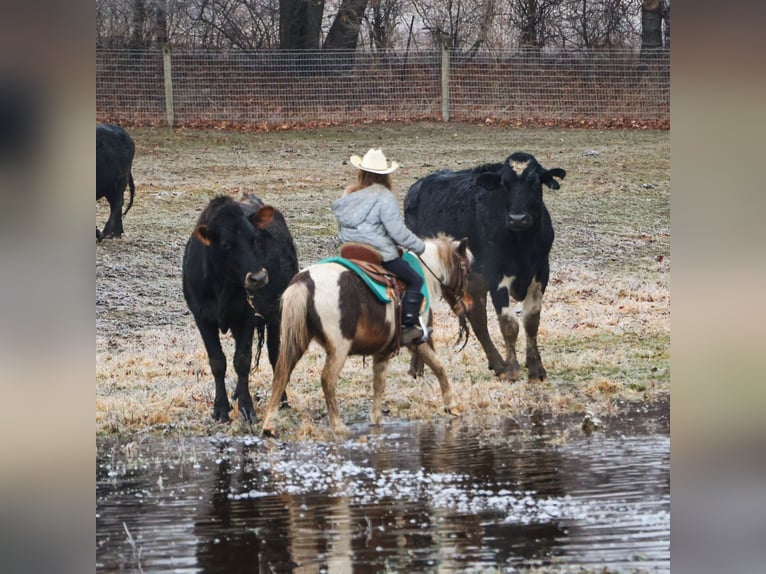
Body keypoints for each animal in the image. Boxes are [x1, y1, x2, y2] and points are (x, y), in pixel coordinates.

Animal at [261, 233, 473, 436]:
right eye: (465, 268)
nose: (466, 305)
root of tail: (306, 280)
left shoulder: (382, 352)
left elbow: (379, 384)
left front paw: (377, 419)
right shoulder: (417, 340)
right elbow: (439, 367)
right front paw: (452, 406)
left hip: (297, 340)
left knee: (281, 375)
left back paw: (269, 426)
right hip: (339, 348)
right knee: (327, 380)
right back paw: (338, 426)